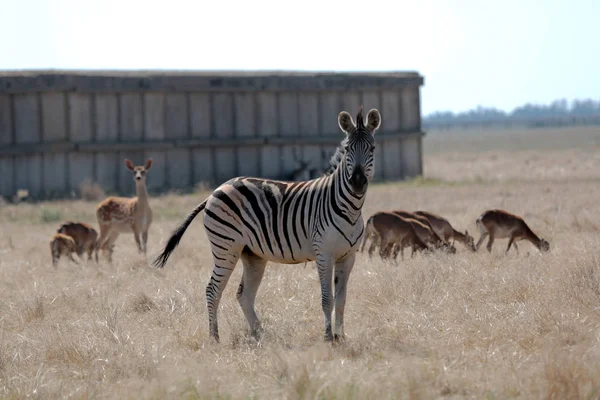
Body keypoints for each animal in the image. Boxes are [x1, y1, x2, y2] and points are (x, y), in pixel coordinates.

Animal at [154, 106, 380, 344]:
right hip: (226, 247)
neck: (349, 208)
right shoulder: (324, 254)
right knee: (213, 290)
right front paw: (328, 337)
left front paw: (341, 337)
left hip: (252, 255)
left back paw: (260, 335)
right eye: (347, 149)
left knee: (243, 295)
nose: (357, 182)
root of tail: (216, 189)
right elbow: (327, 298)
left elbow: (341, 300)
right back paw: (215, 337)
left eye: (372, 148)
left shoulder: (348, 257)